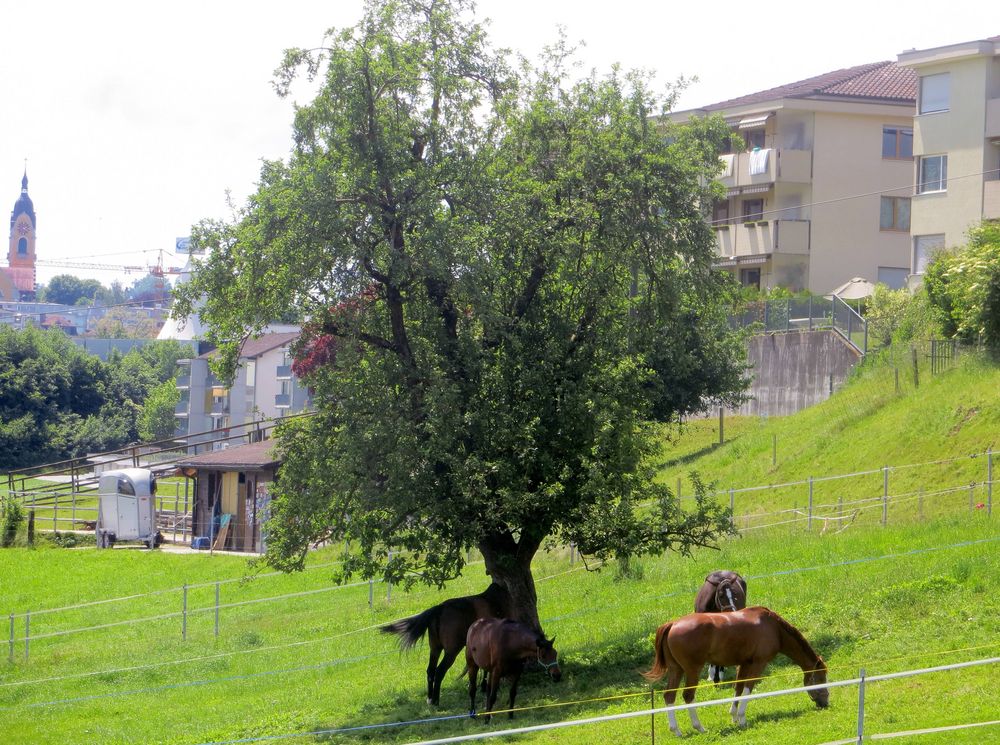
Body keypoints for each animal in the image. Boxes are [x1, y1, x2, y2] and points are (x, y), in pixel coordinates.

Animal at [380, 580, 512, 704]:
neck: (493, 602)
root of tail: (439, 609)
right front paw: (484, 687)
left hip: (435, 649)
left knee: (431, 670)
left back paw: (429, 698)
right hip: (451, 652)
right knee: (439, 671)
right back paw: (435, 701)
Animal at [644, 608, 832, 736]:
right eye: (821, 677)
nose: (825, 703)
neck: (773, 627)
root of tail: (672, 624)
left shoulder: (744, 664)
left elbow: (738, 688)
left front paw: (733, 716)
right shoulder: (758, 664)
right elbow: (748, 688)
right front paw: (742, 719)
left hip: (676, 670)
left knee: (669, 696)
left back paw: (676, 730)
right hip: (692, 670)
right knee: (688, 696)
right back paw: (700, 727)